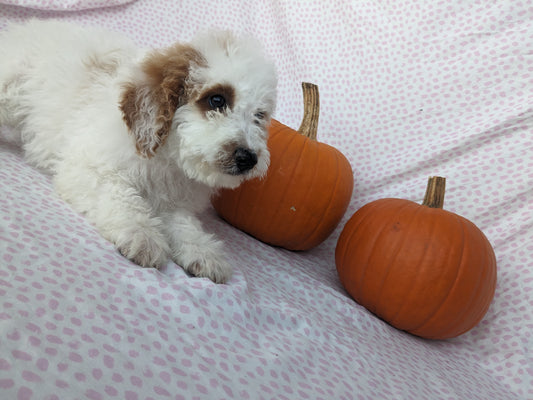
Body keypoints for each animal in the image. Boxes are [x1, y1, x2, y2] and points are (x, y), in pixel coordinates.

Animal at [1, 20, 278, 282]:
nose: (248, 158)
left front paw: (202, 250)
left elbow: (184, 223)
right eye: (217, 100)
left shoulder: (173, 200)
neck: (167, 158)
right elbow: (123, 197)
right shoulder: (87, 169)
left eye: (259, 116)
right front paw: (142, 234)